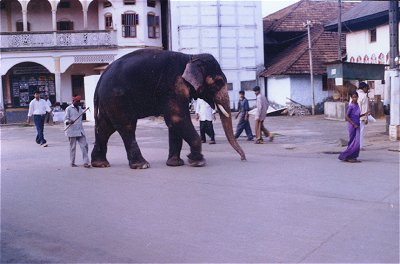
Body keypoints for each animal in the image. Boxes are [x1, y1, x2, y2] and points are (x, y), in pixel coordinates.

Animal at [91, 49, 245, 169]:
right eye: (218, 82)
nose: (243, 159)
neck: (191, 57)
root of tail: (100, 80)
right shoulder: (173, 85)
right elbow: (177, 118)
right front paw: (197, 161)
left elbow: (173, 122)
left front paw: (175, 163)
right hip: (117, 99)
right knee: (127, 126)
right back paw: (142, 165)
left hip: (108, 102)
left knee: (105, 127)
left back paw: (100, 164)